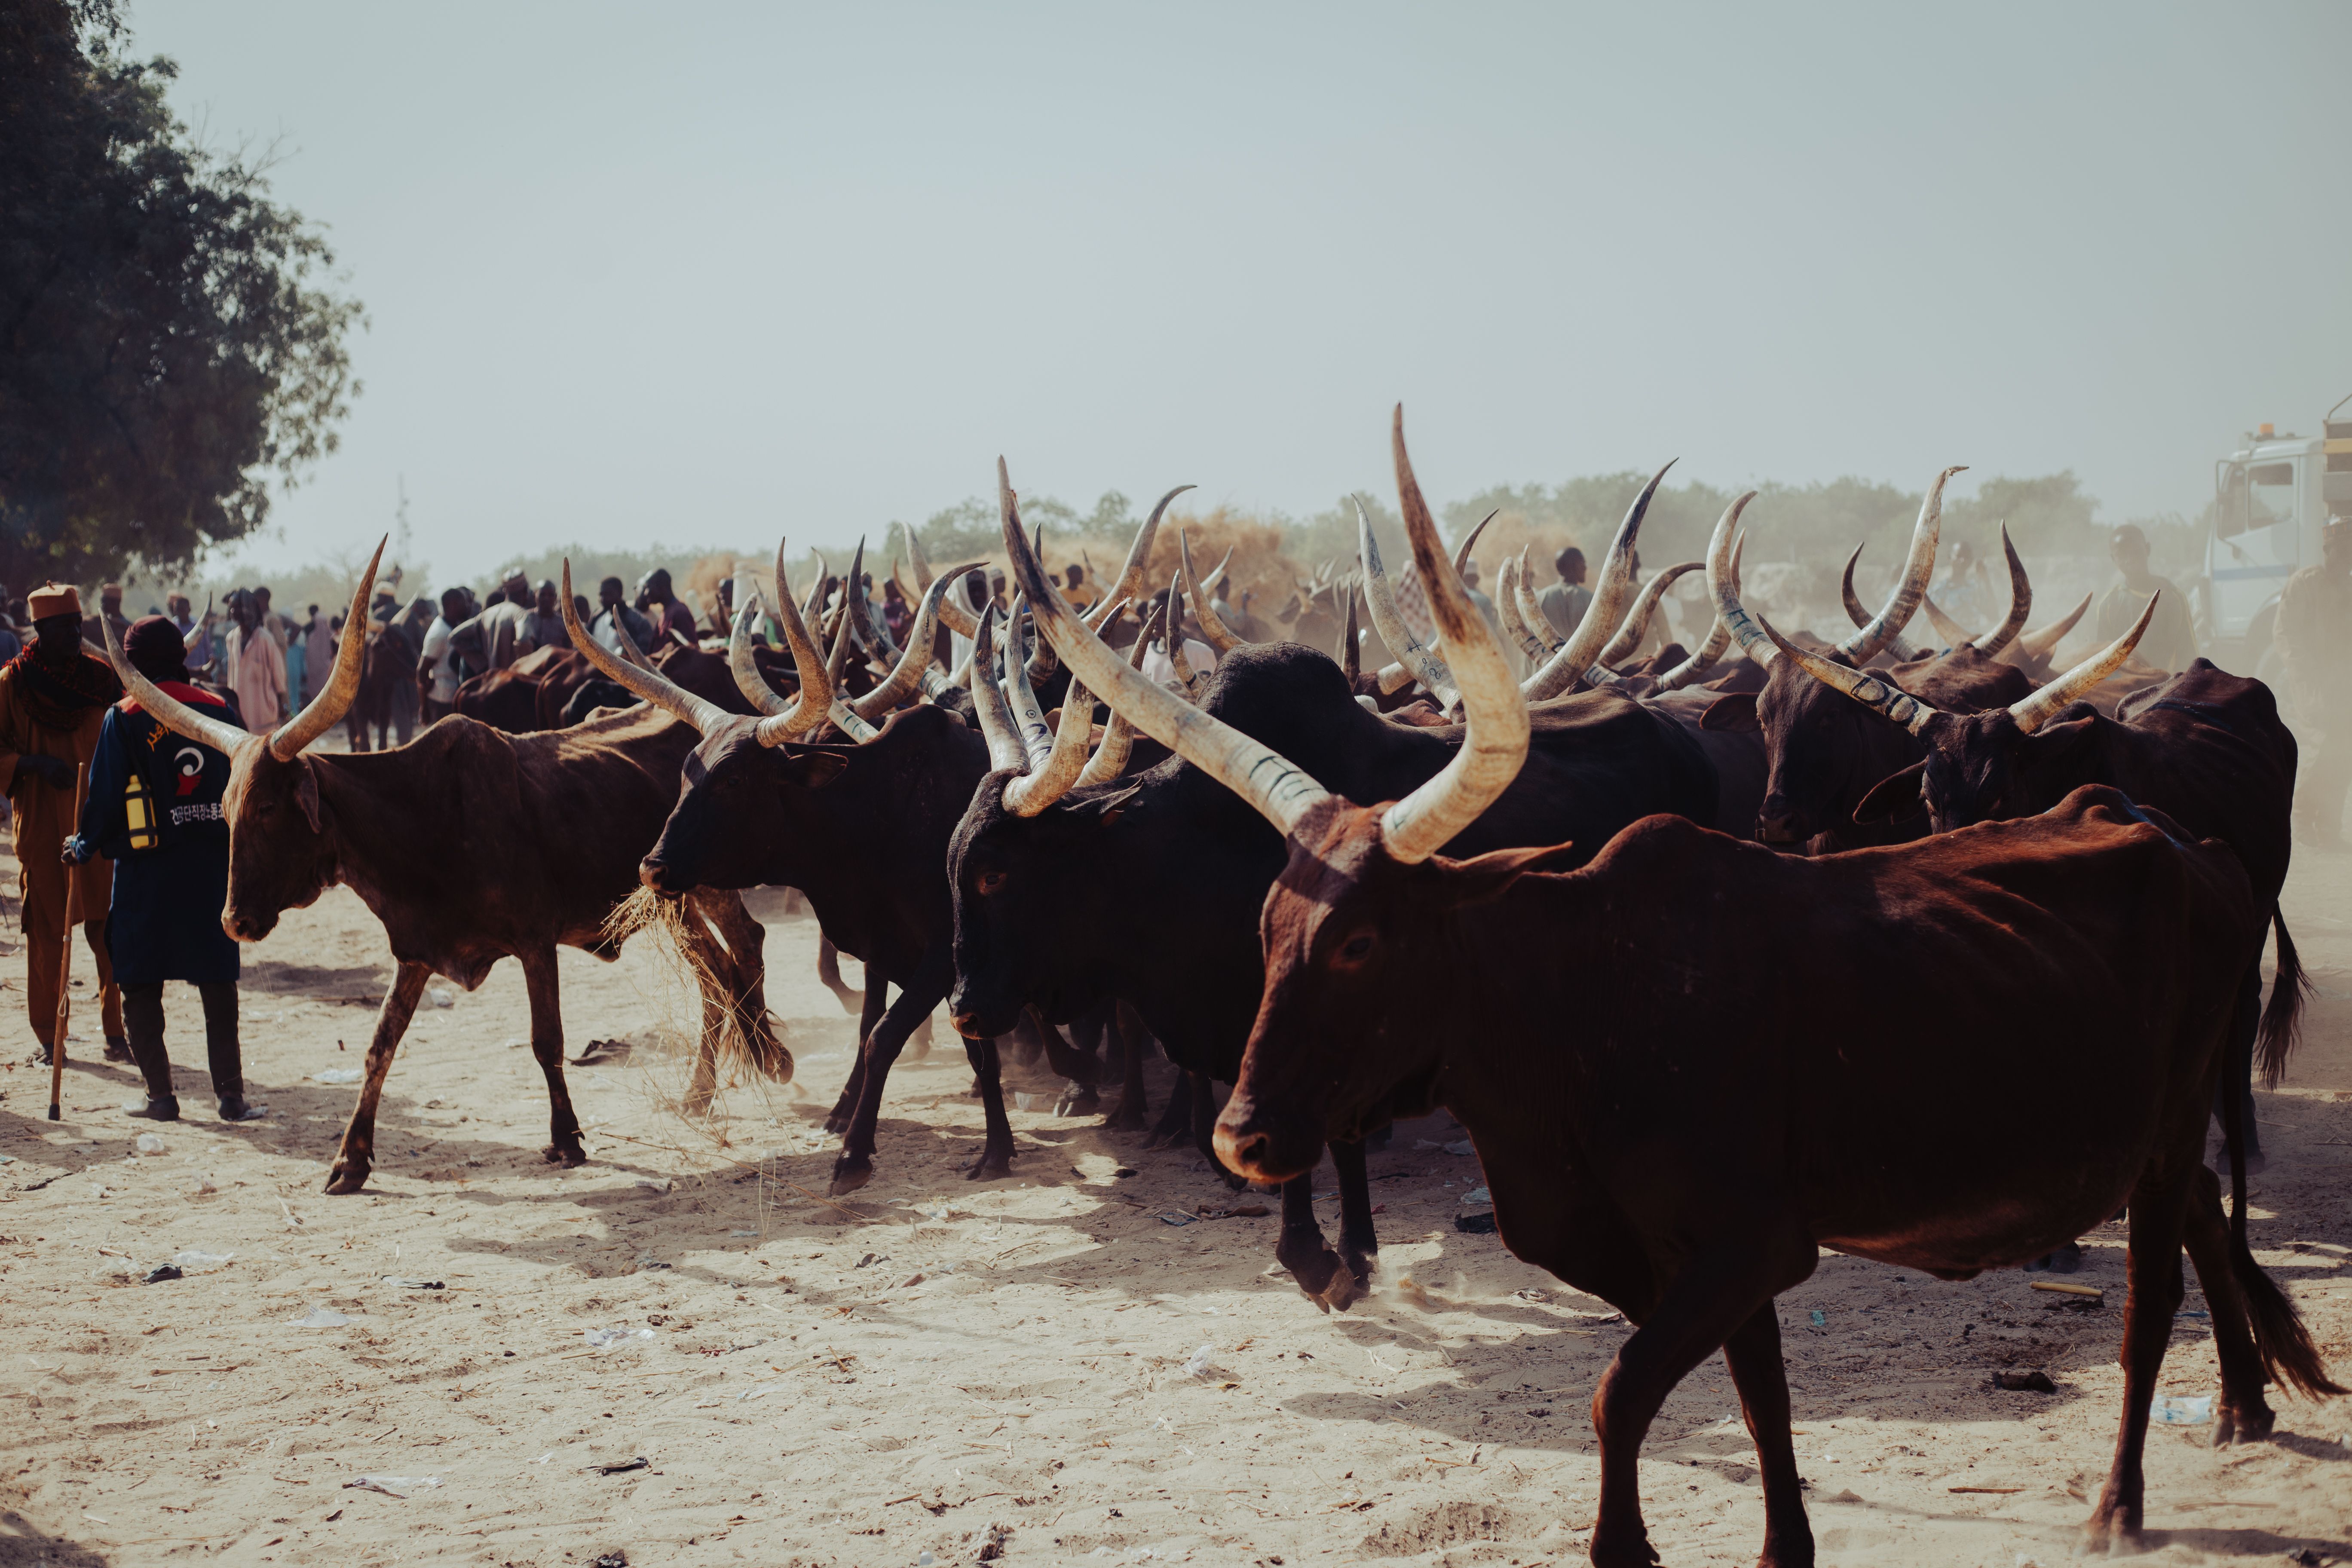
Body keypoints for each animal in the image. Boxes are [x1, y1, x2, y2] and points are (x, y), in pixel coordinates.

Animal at [103, 542, 788, 1194]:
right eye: (224, 807)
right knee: (717, 970)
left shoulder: (536, 943)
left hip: (703, 889)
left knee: (740, 950)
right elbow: (379, 1047)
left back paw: (768, 1059)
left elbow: (547, 1042)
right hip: (676, 900)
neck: (422, 821)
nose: (234, 922)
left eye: (269, 807)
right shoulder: (416, 952)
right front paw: (350, 1160)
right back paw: (707, 1087)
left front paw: (566, 1139)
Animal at [1057, 409, 2341, 1565]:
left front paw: (1627, 1541)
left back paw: (2121, 1501)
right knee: (2209, 1222)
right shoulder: (1696, 1265)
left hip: (2167, 1129)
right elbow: (1759, 1399)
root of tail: (2162, 829)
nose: (1241, 1136)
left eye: (1364, 941)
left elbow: (1621, 1393)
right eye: (1270, 920)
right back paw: (2245, 1397)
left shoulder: (1747, 1245)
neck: (1578, 1003)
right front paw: (1784, 1545)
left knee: (2150, 1300)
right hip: (2145, 1130)